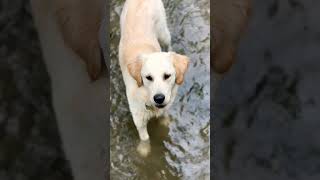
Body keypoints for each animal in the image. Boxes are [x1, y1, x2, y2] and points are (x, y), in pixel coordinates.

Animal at [119, 0, 189, 143]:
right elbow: (145, 139)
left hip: (163, 33)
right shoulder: (139, 119)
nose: (159, 98)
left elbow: (165, 123)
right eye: (148, 77)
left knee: (168, 45)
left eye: (167, 76)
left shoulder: (166, 108)